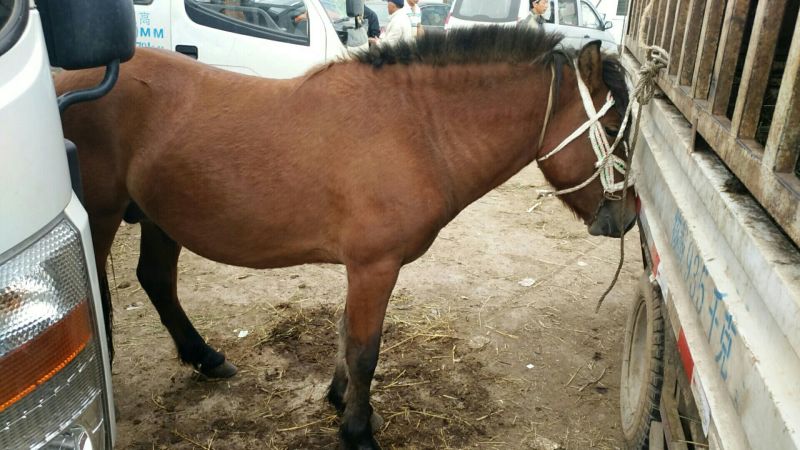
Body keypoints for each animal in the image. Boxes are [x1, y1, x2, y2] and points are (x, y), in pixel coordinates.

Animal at [56, 26, 634, 450]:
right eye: (614, 132)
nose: (626, 219)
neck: (415, 128)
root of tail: (68, 81)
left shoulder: (365, 269)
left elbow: (344, 336)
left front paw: (341, 401)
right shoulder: (374, 267)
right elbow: (363, 350)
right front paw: (356, 431)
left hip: (159, 217)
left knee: (156, 280)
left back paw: (207, 358)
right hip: (105, 216)